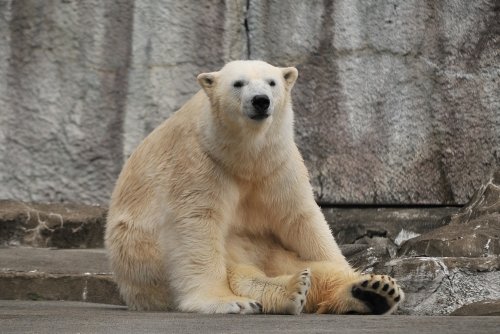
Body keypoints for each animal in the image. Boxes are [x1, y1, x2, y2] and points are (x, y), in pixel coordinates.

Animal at [104, 59, 402, 314]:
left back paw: (374, 290)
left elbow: (301, 219)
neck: (242, 157)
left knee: (312, 268)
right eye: (238, 83)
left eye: (272, 82)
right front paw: (225, 302)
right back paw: (289, 290)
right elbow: (198, 226)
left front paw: (361, 276)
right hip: (147, 264)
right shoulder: (199, 163)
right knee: (240, 272)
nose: (261, 101)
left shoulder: (276, 164)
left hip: (266, 249)